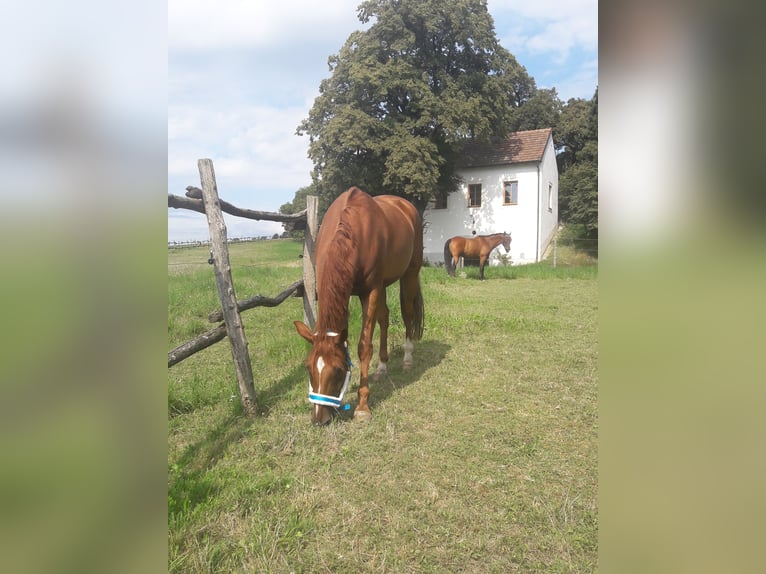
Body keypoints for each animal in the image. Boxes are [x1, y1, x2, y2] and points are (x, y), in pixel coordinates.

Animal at [294, 187, 426, 426]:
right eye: (308, 367)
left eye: (338, 370)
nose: (319, 419)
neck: (353, 231)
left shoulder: (370, 291)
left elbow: (364, 347)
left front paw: (362, 406)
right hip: (384, 285)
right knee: (384, 318)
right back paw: (382, 367)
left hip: (409, 274)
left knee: (407, 313)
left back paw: (407, 359)